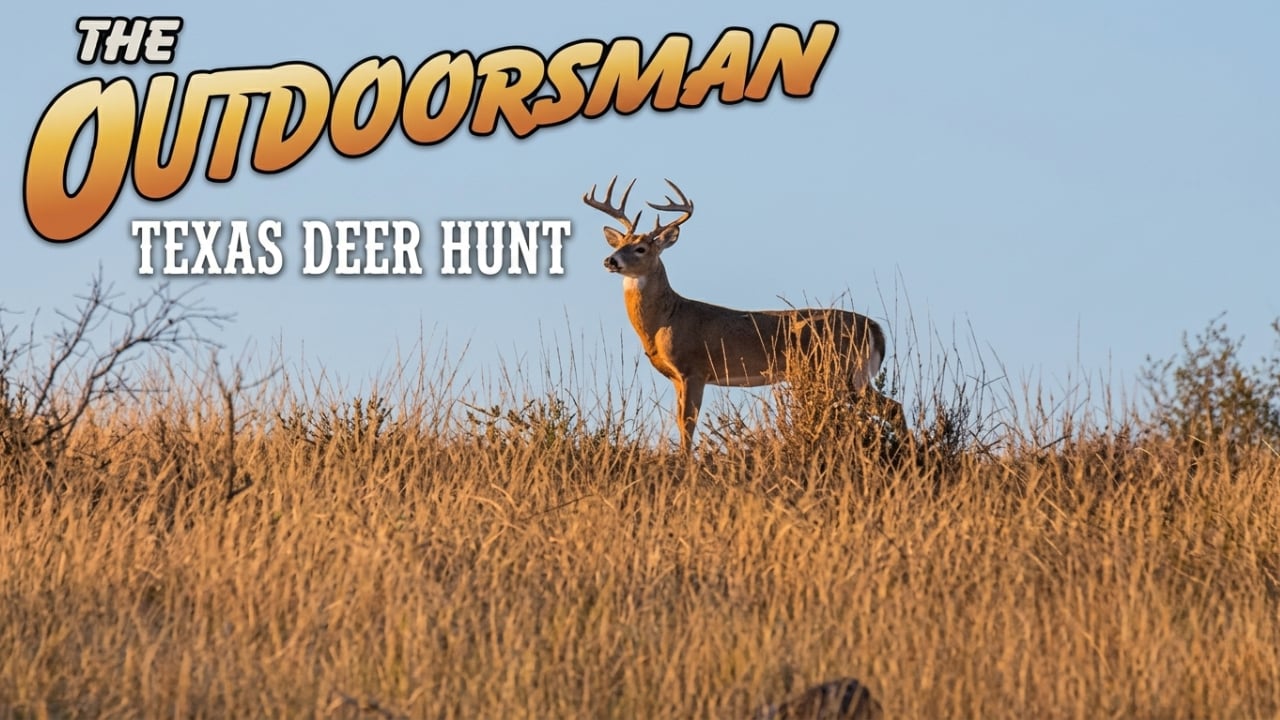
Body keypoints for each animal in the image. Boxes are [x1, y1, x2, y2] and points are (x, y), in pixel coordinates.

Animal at [585, 177, 904, 452]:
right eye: (619, 244)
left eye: (640, 248)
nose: (610, 260)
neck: (666, 320)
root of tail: (875, 329)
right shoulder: (677, 377)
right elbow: (679, 421)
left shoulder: (694, 369)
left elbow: (687, 424)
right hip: (848, 374)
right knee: (893, 408)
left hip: (840, 370)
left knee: (891, 408)